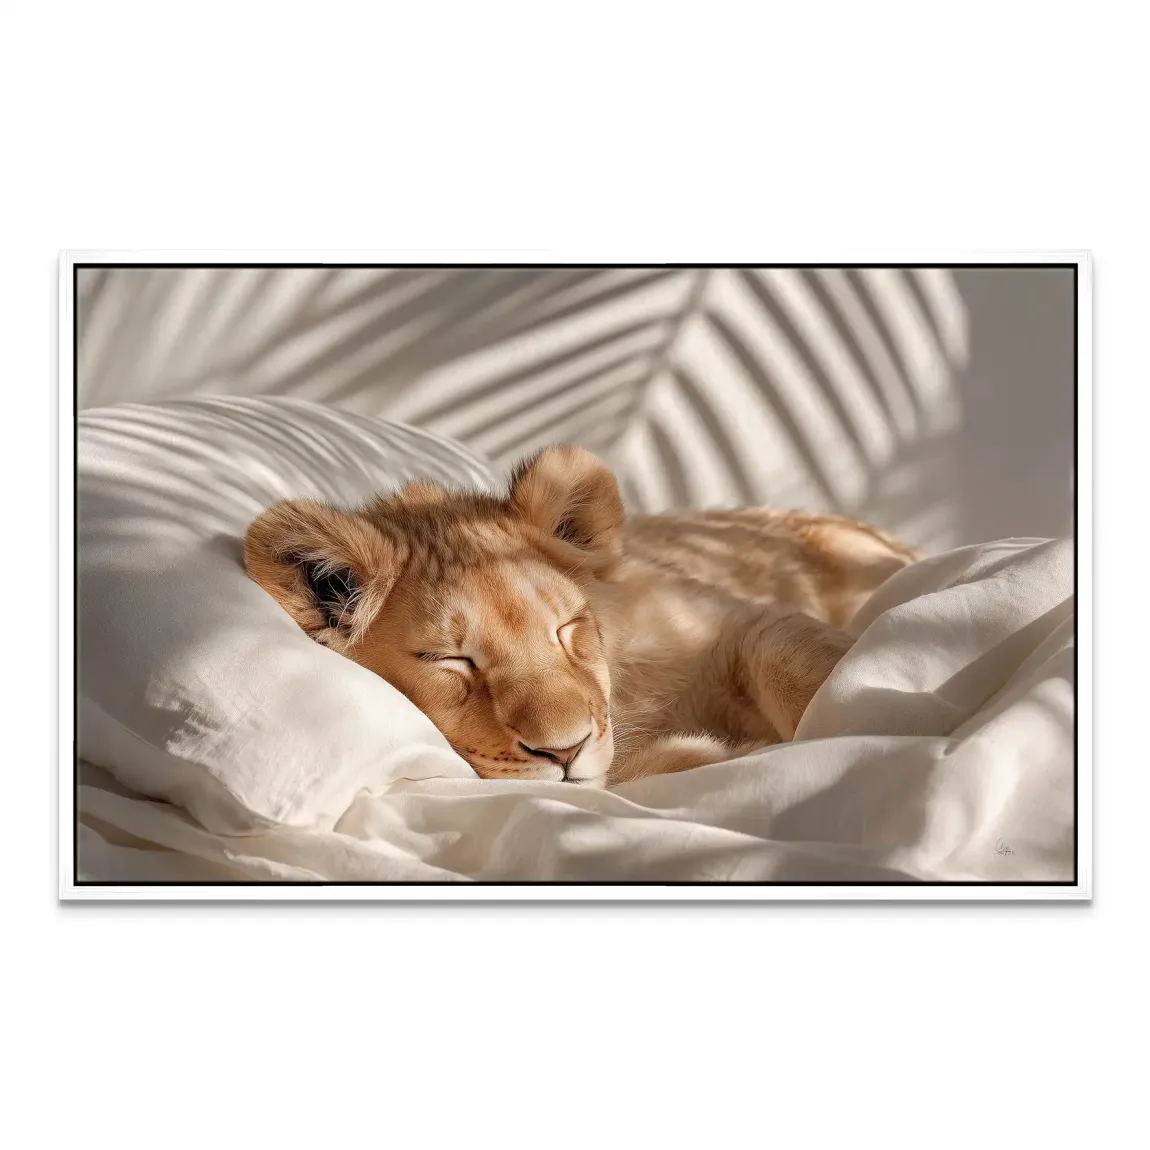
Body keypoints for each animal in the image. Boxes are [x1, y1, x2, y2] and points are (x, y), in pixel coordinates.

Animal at [243, 445, 919, 787]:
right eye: (450, 660)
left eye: (565, 629)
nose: (563, 751)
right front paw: (726, 754)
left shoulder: (727, 620)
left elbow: (792, 654)